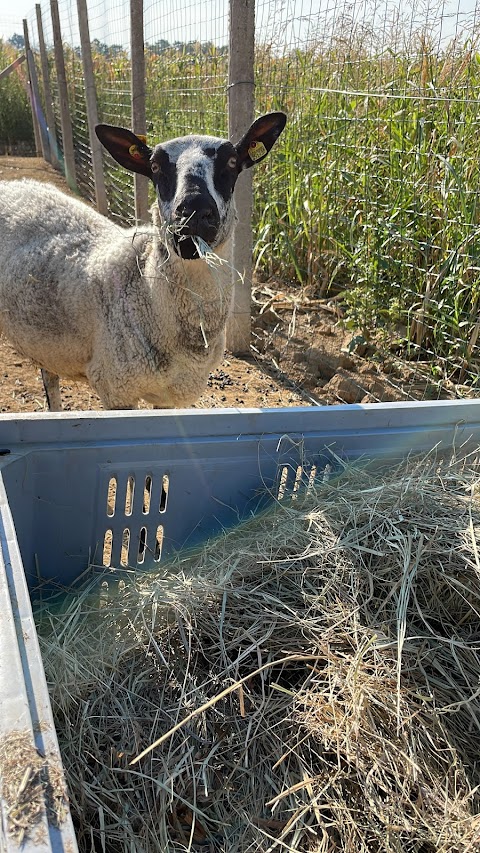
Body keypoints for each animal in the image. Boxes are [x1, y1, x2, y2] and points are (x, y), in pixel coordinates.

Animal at [0, 111, 284, 412]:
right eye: (155, 167)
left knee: (49, 376)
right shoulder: (116, 388)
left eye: (231, 162)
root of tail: (15, 184)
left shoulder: (167, 399)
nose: (193, 212)